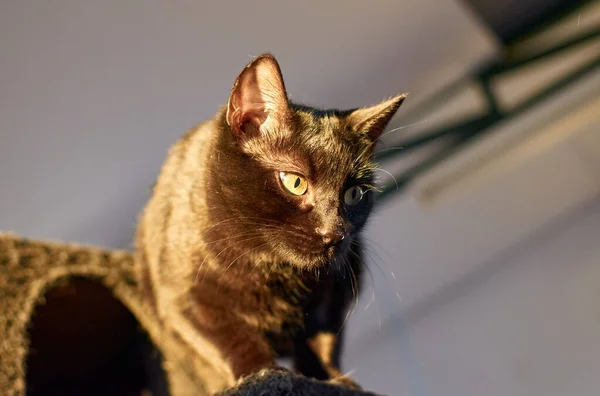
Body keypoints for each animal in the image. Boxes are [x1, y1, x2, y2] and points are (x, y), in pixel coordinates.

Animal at [134, 53, 406, 392]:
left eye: (354, 193)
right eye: (294, 182)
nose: (335, 233)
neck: (272, 268)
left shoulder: (337, 288)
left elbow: (322, 340)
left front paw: (331, 380)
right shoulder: (185, 299)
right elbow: (227, 341)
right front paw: (262, 375)